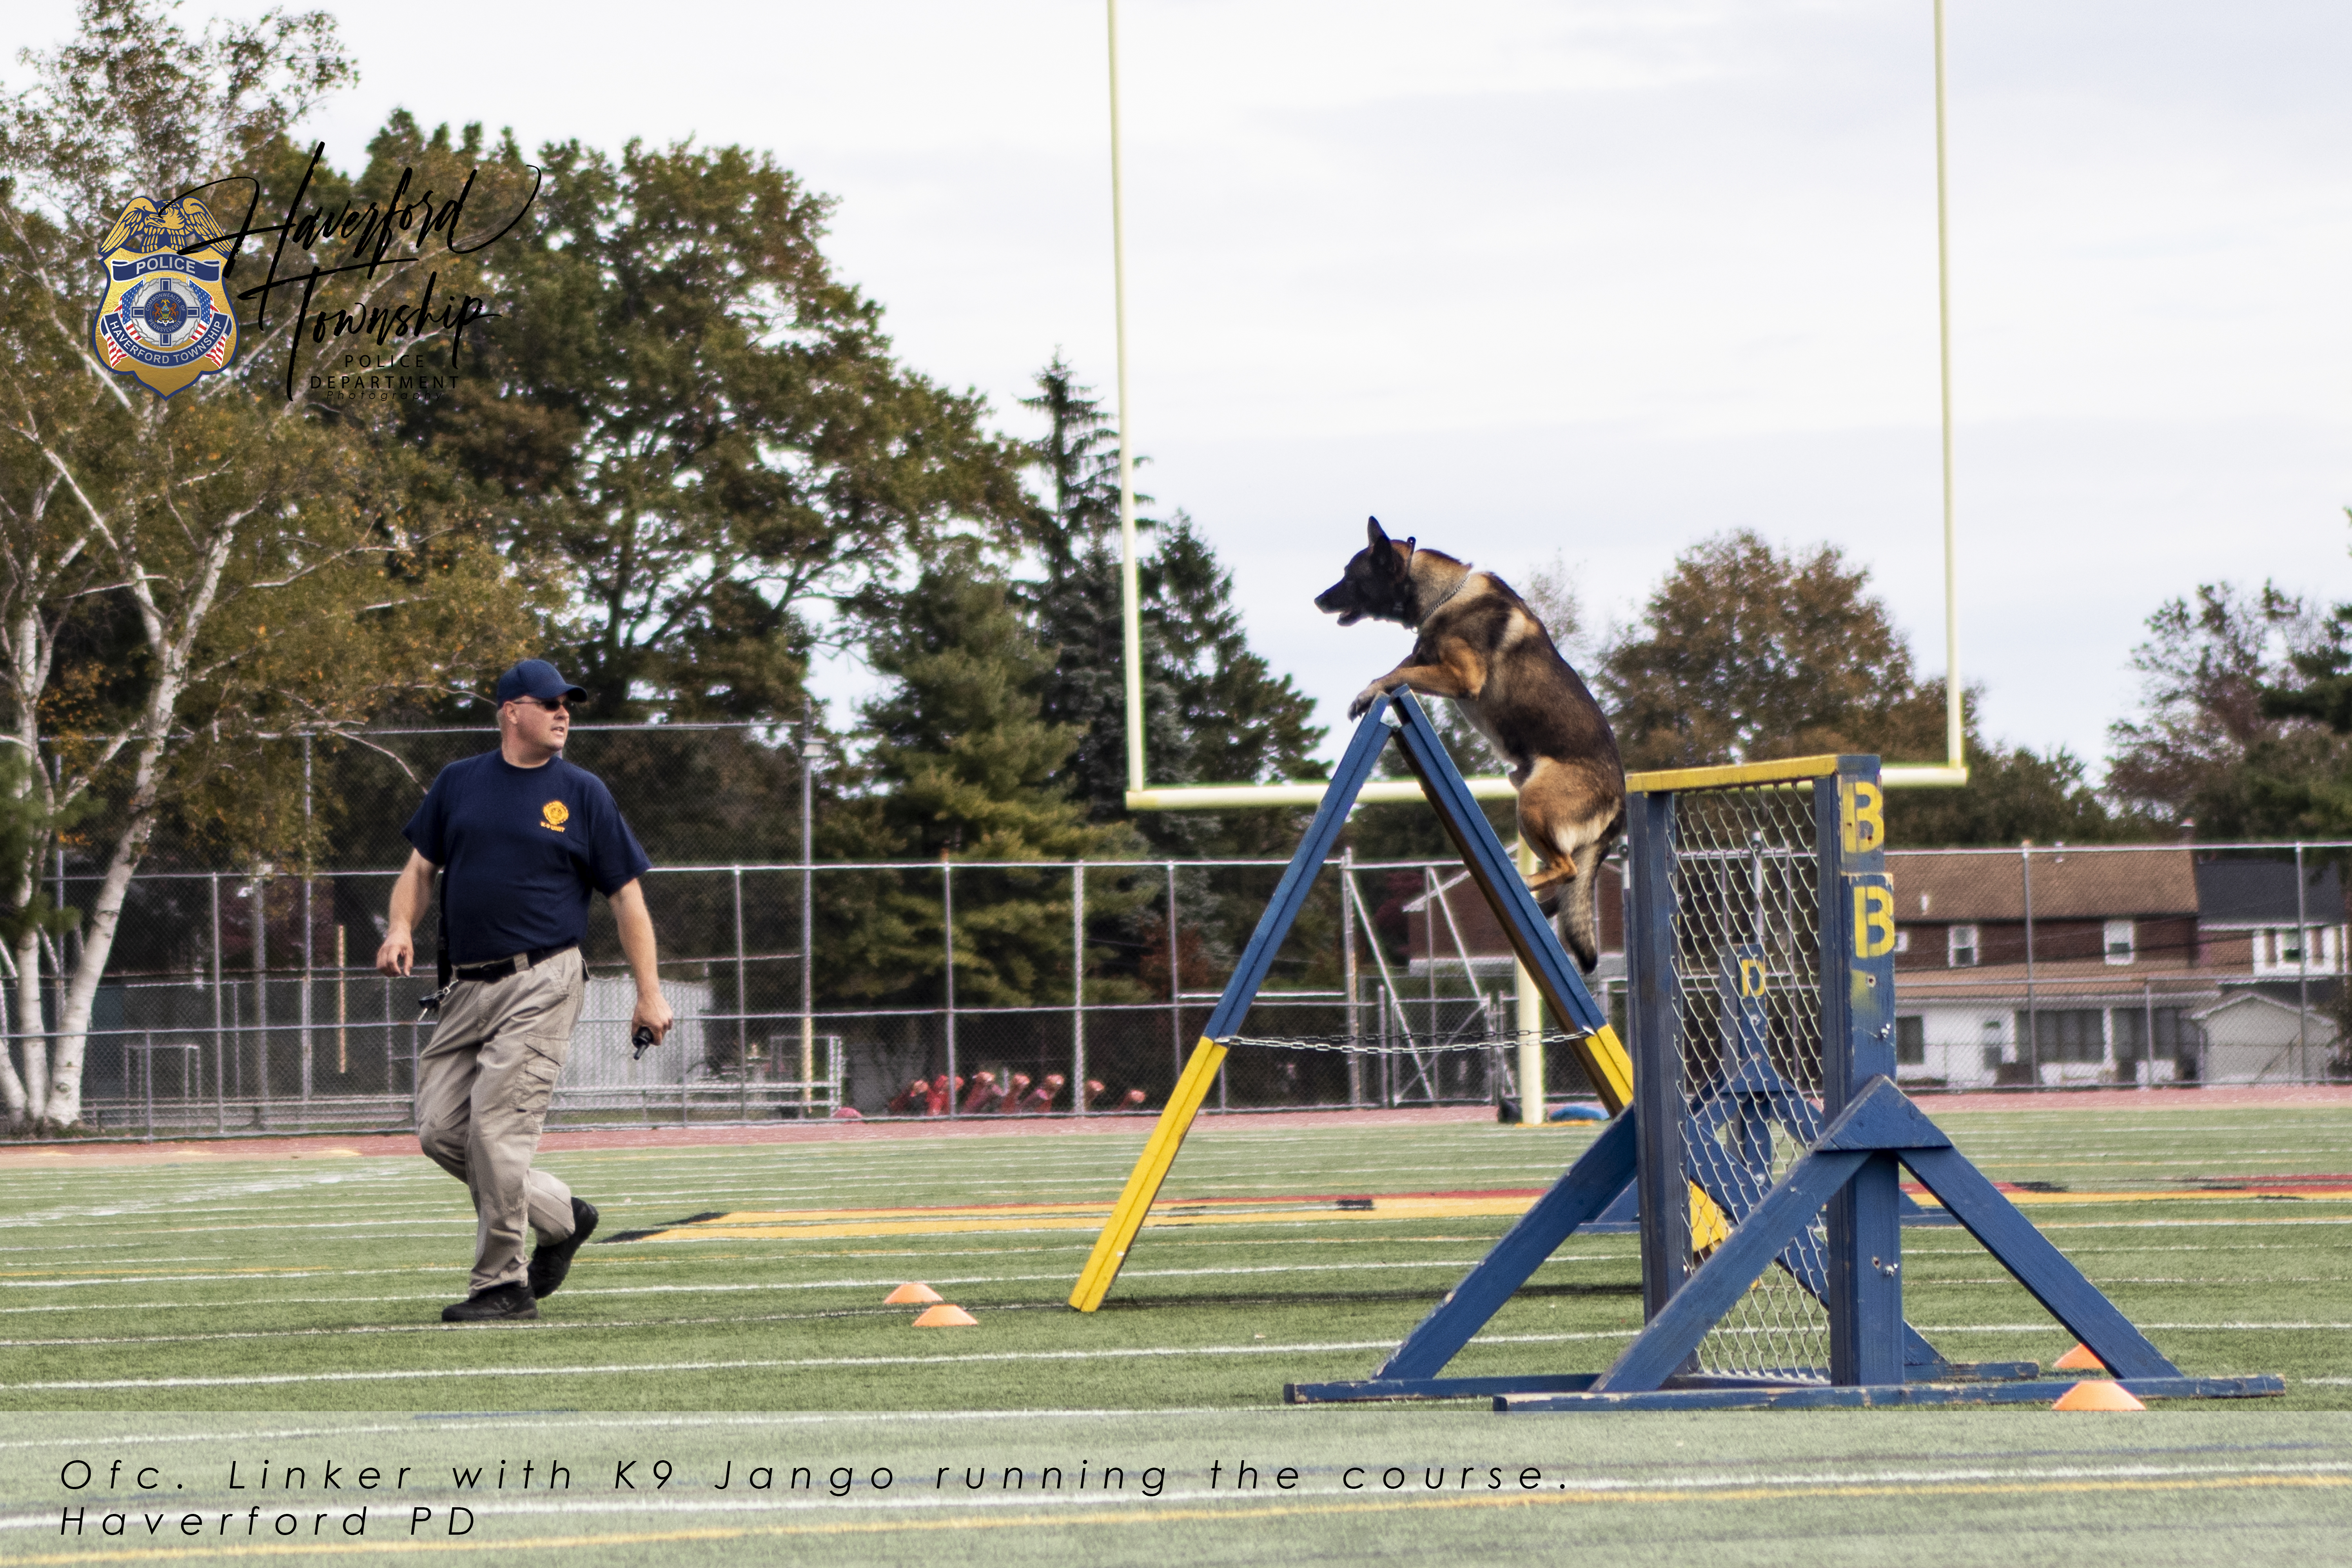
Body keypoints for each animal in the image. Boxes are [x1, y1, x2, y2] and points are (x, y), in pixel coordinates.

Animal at [1317, 522, 1628, 973]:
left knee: (1567, 868)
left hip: (1534, 803)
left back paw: (1526, 883)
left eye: (1351, 576)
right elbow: (1400, 668)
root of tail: (1620, 802)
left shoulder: (1460, 676)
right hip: (1526, 794)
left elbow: (1396, 674)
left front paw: (1368, 692)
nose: (1318, 599)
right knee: (1567, 883)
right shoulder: (1425, 658)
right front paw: (1368, 693)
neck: (1444, 595)